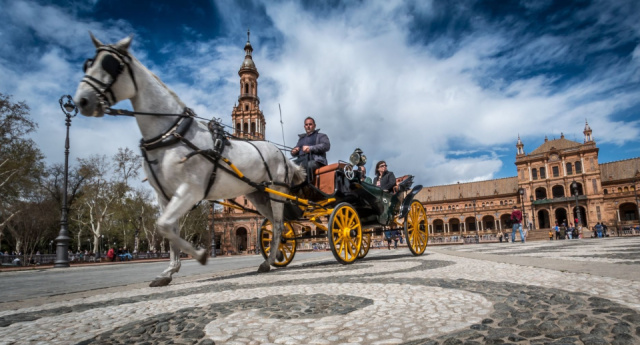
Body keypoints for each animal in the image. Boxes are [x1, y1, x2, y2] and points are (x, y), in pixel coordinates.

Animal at [74, 33, 304, 284]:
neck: (171, 134)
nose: (82, 100)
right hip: (259, 195)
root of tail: (282, 156)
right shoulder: (166, 196)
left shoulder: (190, 189)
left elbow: (165, 226)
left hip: (276, 192)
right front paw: (169, 270)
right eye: (88, 64)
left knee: (279, 225)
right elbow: (168, 228)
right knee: (274, 224)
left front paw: (199, 255)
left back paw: (269, 261)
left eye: (110, 65)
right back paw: (274, 256)